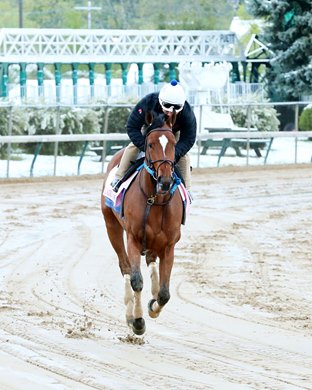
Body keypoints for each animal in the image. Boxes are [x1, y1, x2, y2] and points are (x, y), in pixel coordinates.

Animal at [100, 112, 184, 336]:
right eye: (151, 144)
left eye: (173, 143)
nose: (165, 180)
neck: (155, 200)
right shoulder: (133, 239)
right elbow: (136, 280)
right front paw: (137, 320)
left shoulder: (169, 245)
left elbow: (164, 293)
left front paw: (153, 306)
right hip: (111, 226)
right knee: (126, 268)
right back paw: (130, 314)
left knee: (151, 262)